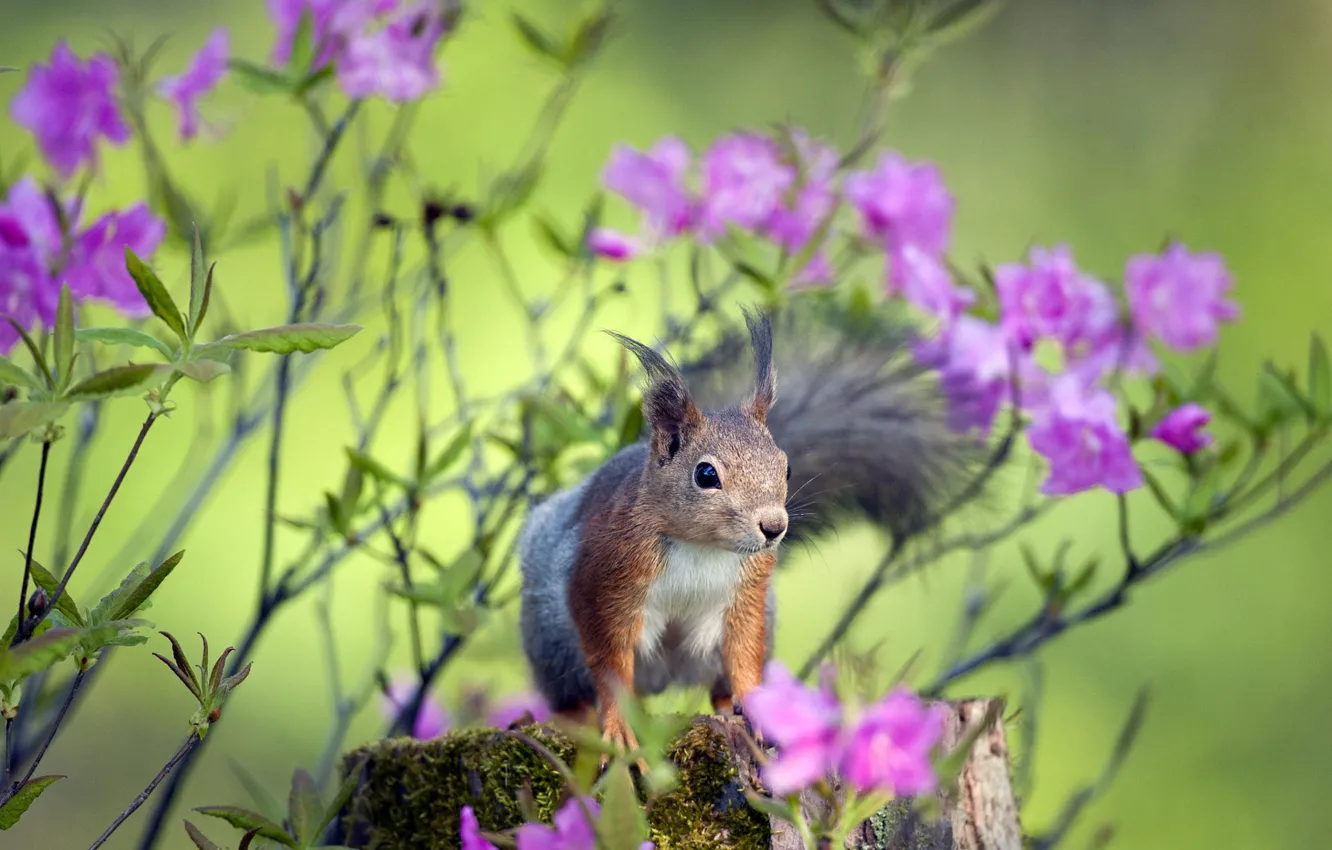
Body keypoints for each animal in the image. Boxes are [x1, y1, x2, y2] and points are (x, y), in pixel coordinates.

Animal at [517, 301, 981, 756]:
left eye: (786, 467)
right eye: (706, 474)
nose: (774, 527)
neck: (702, 547)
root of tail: (662, 678)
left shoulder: (747, 597)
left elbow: (743, 654)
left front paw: (755, 707)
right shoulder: (606, 582)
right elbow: (610, 663)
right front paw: (617, 728)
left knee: (719, 682)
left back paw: (730, 708)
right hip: (553, 639)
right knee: (572, 691)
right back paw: (573, 718)